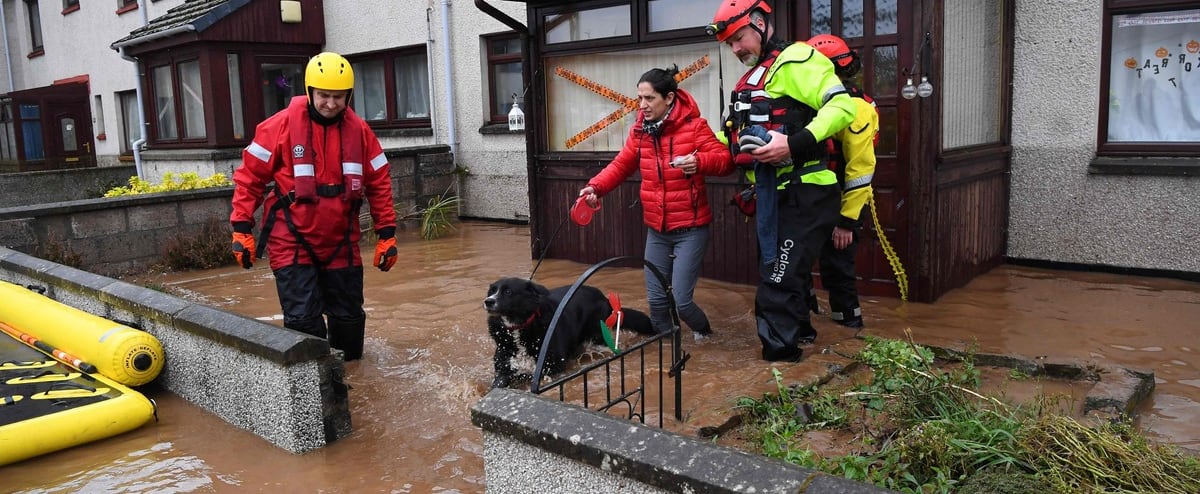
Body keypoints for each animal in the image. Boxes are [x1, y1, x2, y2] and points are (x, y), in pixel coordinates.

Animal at [480, 275, 657, 388]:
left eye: (508, 292)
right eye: (492, 292)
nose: (488, 301)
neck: (520, 327)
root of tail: (603, 297)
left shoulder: (553, 366)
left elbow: (526, 376)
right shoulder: (504, 364)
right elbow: (500, 380)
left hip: (595, 335)